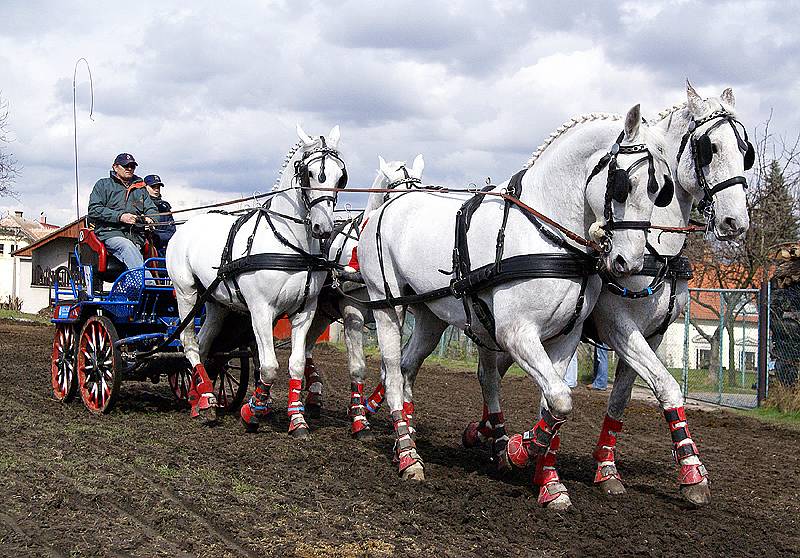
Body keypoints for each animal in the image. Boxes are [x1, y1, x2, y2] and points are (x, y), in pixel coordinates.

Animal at [167, 126, 342, 434]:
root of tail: (185, 227)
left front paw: (297, 419)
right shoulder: (261, 310)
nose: (323, 227)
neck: (289, 244)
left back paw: (200, 399)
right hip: (186, 293)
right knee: (189, 343)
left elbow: (296, 364)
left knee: (203, 343)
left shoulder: (305, 311)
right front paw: (253, 412)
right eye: (309, 173)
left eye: (339, 176)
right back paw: (206, 401)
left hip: (215, 302)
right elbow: (269, 366)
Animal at [298, 155, 424, 440]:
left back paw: (314, 394)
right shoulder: (352, 313)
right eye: (393, 195)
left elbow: (389, 369)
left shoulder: (394, 312)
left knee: (307, 346)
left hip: (322, 315)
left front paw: (371, 406)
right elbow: (358, 367)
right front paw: (359, 419)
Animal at [360, 105, 672, 512]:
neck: (547, 235)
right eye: (624, 183)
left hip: (430, 316)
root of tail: (388, 203)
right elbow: (559, 399)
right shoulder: (516, 333)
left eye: (658, 189)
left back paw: (409, 435)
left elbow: (554, 403)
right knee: (394, 373)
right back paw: (408, 457)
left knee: (408, 368)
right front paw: (514, 452)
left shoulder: (565, 337)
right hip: (387, 306)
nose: (629, 262)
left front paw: (547, 481)